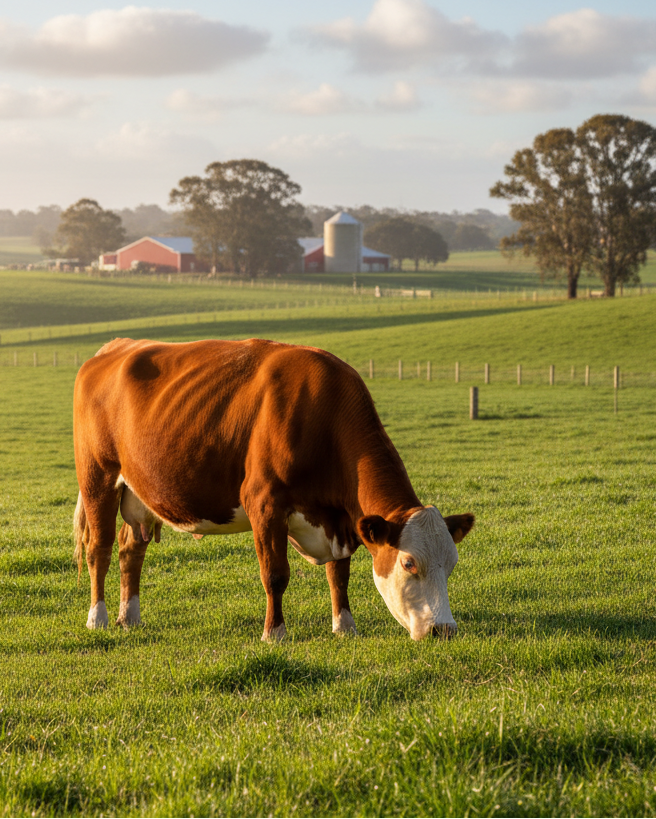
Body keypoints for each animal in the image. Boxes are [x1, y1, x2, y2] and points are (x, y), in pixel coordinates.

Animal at [73, 338, 474, 641]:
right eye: (409, 563)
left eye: (452, 563)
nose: (444, 629)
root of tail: (115, 346)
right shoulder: (265, 503)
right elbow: (275, 574)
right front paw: (274, 633)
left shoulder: (342, 519)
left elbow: (339, 574)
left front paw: (344, 627)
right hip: (98, 477)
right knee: (99, 549)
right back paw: (98, 618)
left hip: (138, 491)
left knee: (131, 550)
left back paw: (130, 617)